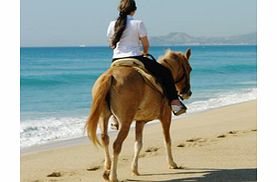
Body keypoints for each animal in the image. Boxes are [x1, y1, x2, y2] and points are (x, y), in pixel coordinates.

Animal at [85, 48, 191, 182]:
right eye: (189, 69)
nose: (188, 92)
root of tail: (111, 76)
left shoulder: (140, 121)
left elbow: (138, 145)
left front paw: (134, 169)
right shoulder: (166, 117)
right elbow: (167, 140)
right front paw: (172, 163)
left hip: (103, 117)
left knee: (105, 139)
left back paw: (107, 170)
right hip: (125, 121)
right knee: (116, 144)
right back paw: (113, 176)